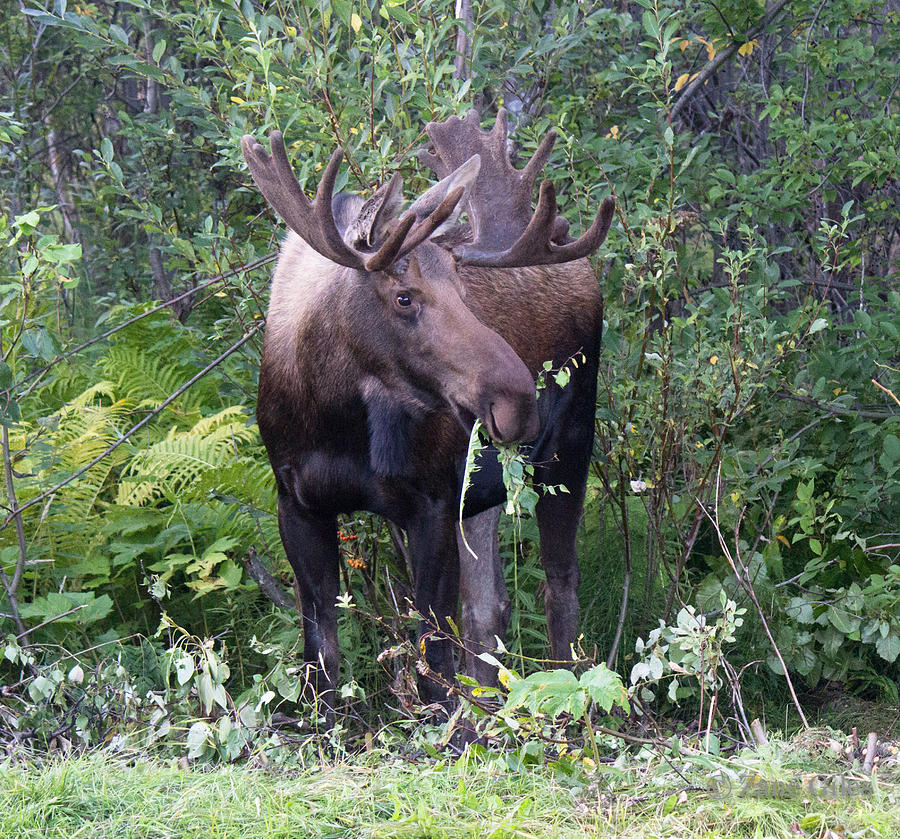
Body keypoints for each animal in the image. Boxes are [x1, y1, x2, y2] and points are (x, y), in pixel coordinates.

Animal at [243, 108, 616, 712]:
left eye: (465, 293)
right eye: (404, 297)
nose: (518, 400)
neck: (335, 421)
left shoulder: (433, 504)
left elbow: (433, 656)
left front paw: (446, 723)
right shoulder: (295, 503)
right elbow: (320, 654)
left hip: (568, 448)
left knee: (559, 582)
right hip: (485, 490)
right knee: (490, 609)